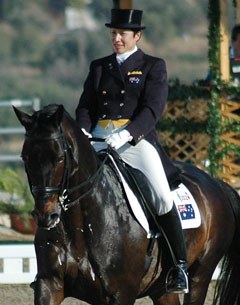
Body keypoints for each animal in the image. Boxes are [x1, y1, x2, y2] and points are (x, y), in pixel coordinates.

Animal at [13, 104, 240, 304]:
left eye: (60, 158)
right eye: (25, 158)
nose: (46, 216)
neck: (79, 225)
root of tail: (215, 183)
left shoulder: (122, 293)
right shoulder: (50, 285)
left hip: (200, 275)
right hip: (161, 289)